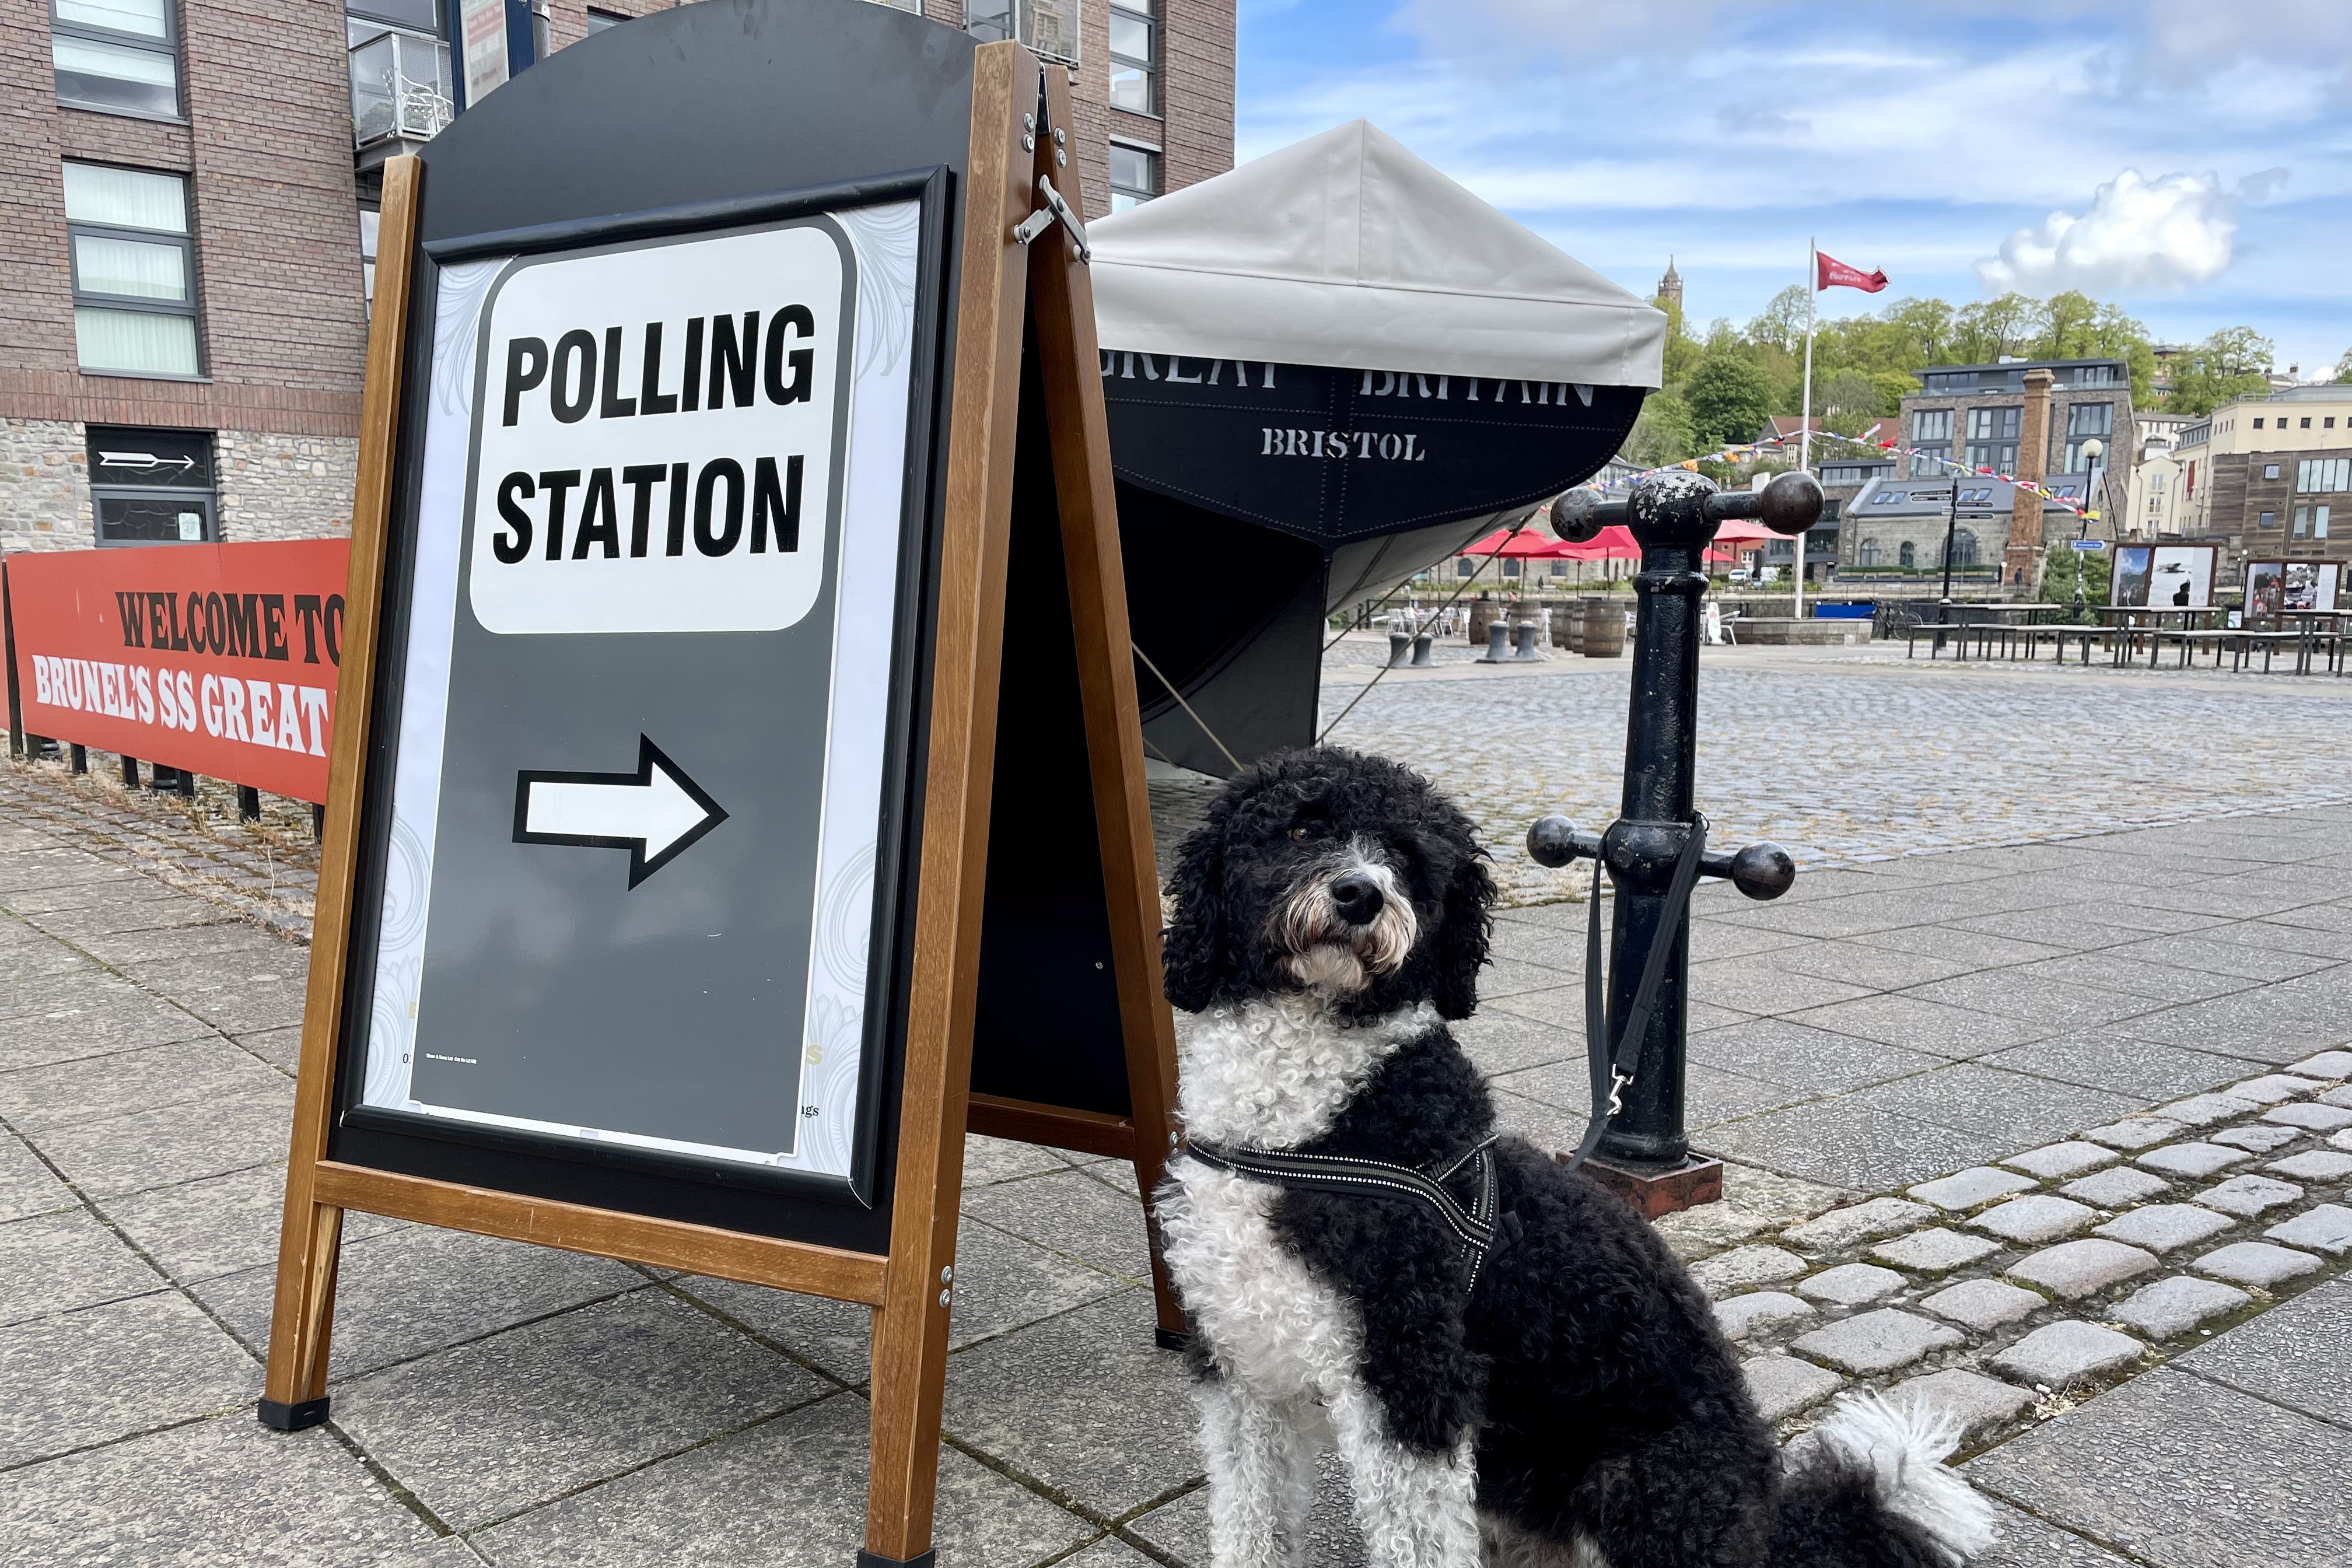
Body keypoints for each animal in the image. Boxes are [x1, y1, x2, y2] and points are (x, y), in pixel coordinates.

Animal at [1147, 747, 1994, 1568]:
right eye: (1299, 829)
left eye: (1408, 858)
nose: (1361, 894)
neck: (1302, 1132)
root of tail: (1770, 1522)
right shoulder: (1242, 1369)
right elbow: (1249, 1519)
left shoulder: (1411, 1379)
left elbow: (1414, 1538)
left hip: (1639, 1483)